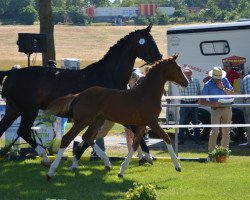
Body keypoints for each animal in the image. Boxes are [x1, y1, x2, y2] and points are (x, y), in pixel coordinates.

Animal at [0, 24, 162, 166]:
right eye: (149, 42)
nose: (159, 57)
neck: (109, 75)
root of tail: (12, 73)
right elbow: (132, 133)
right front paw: (148, 157)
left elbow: (89, 139)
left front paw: (77, 158)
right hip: (29, 110)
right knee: (23, 131)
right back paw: (45, 158)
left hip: (14, 109)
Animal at [46, 55, 188, 180]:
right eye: (178, 68)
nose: (186, 82)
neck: (147, 93)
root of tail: (78, 95)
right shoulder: (152, 122)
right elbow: (166, 137)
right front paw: (177, 166)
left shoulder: (142, 124)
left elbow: (135, 144)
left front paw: (121, 171)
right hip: (83, 120)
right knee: (67, 138)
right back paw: (51, 172)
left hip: (98, 120)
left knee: (87, 137)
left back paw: (106, 163)